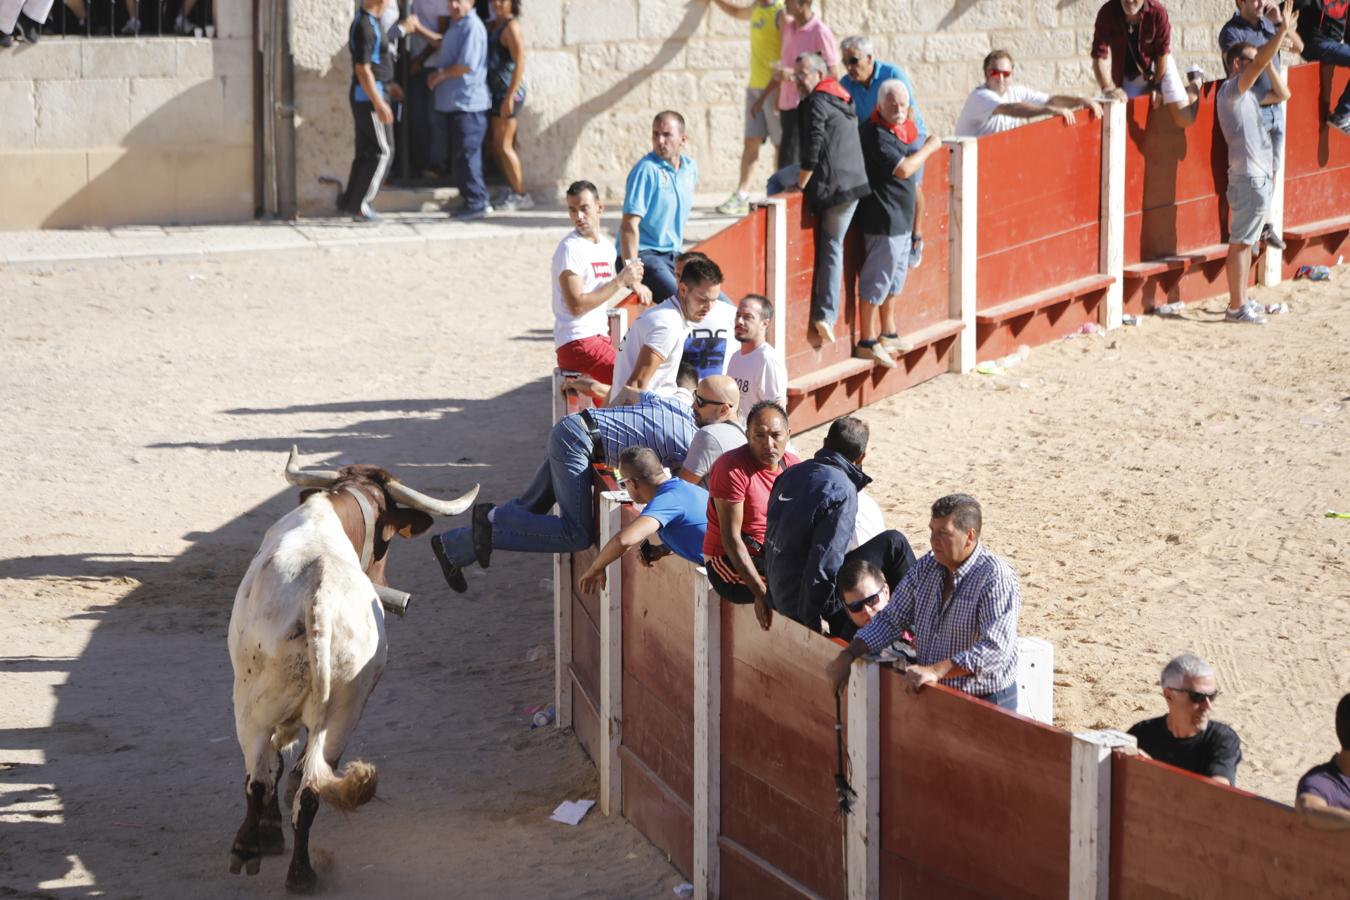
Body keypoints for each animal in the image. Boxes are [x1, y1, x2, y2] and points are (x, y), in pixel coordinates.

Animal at [230, 450, 480, 895]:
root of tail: (318, 598)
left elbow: (279, 764)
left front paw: (271, 831)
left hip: (257, 706)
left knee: (265, 776)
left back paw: (264, 855)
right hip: (334, 711)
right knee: (302, 785)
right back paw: (294, 870)